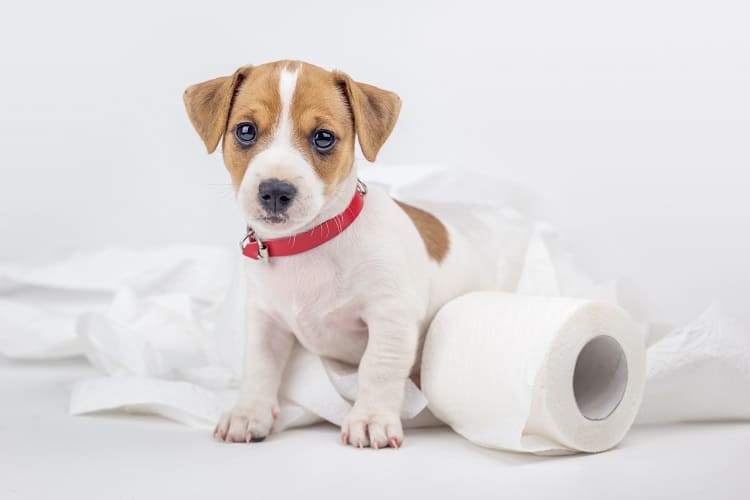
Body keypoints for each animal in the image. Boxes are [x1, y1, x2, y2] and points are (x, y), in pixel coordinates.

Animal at [185, 59, 484, 450]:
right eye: (245, 131)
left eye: (323, 137)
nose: (275, 191)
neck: (306, 245)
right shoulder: (266, 319)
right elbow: (259, 366)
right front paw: (249, 413)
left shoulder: (391, 316)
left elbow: (378, 366)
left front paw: (371, 419)